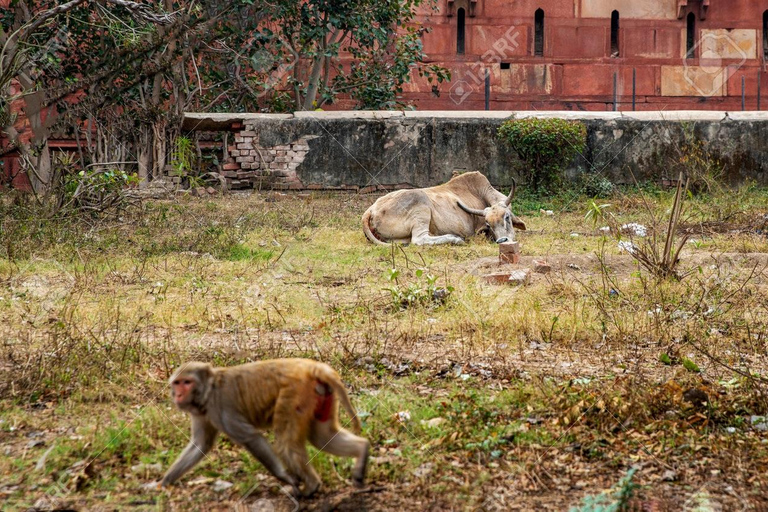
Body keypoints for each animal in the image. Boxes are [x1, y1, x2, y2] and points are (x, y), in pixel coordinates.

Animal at [160, 358, 370, 497]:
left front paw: (286, 477)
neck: (209, 388)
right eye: (177, 383)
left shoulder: (220, 406)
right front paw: (163, 483)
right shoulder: (202, 412)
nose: (178, 394)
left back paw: (311, 485)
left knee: (286, 444)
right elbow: (200, 445)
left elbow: (250, 437)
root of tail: (312, 367)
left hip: (294, 395)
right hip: (321, 396)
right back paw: (362, 450)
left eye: (187, 382)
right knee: (323, 436)